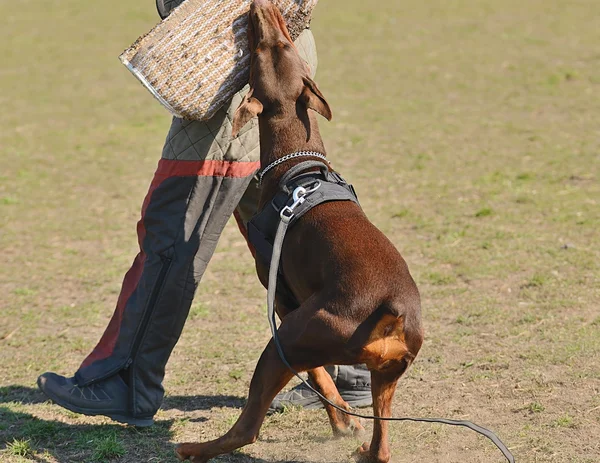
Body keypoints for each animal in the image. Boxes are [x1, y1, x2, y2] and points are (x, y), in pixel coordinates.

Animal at [176, 1, 424, 462]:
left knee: (247, 429)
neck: (297, 165)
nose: (263, 7)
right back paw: (364, 449)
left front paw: (340, 418)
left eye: (267, 49)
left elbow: (319, 375)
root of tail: (391, 314)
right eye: (282, 47)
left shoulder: (284, 300)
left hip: (290, 339)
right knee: (382, 445)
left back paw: (194, 448)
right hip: (387, 375)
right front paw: (344, 422)